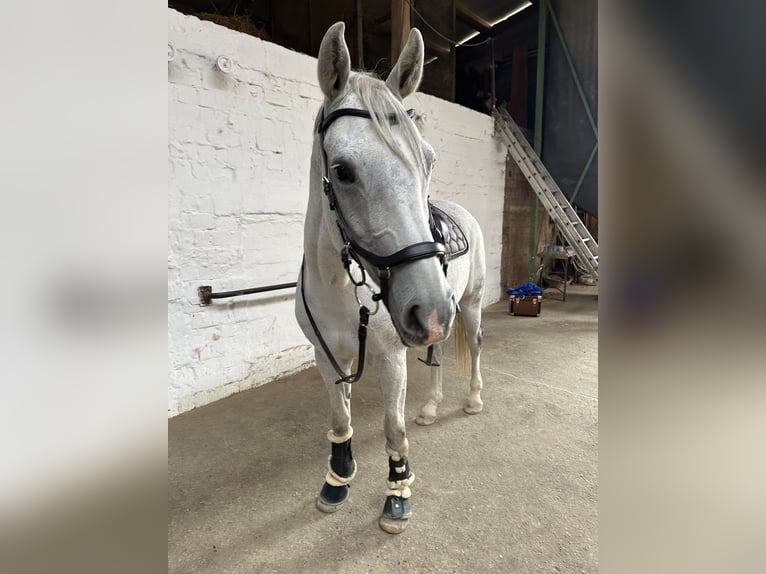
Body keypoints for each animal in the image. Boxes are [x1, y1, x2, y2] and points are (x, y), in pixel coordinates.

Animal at [295, 22, 486, 534]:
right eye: (342, 170)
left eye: (429, 160)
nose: (428, 309)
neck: (341, 290)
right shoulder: (327, 357)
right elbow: (340, 420)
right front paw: (337, 481)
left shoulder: (390, 357)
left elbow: (391, 429)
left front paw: (397, 495)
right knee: (437, 355)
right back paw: (431, 408)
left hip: (469, 307)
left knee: (475, 348)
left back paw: (473, 401)